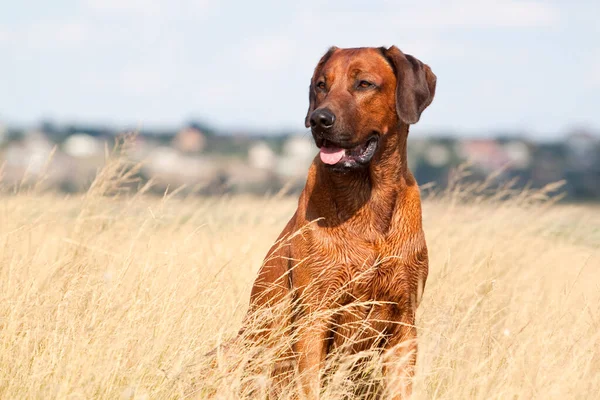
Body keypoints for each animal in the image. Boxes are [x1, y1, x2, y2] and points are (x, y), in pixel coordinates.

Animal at [238, 45, 436, 398]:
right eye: (321, 85)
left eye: (364, 84)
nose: (319, 119)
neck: (369, 197)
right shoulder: (315, 317)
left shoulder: (404, 321)